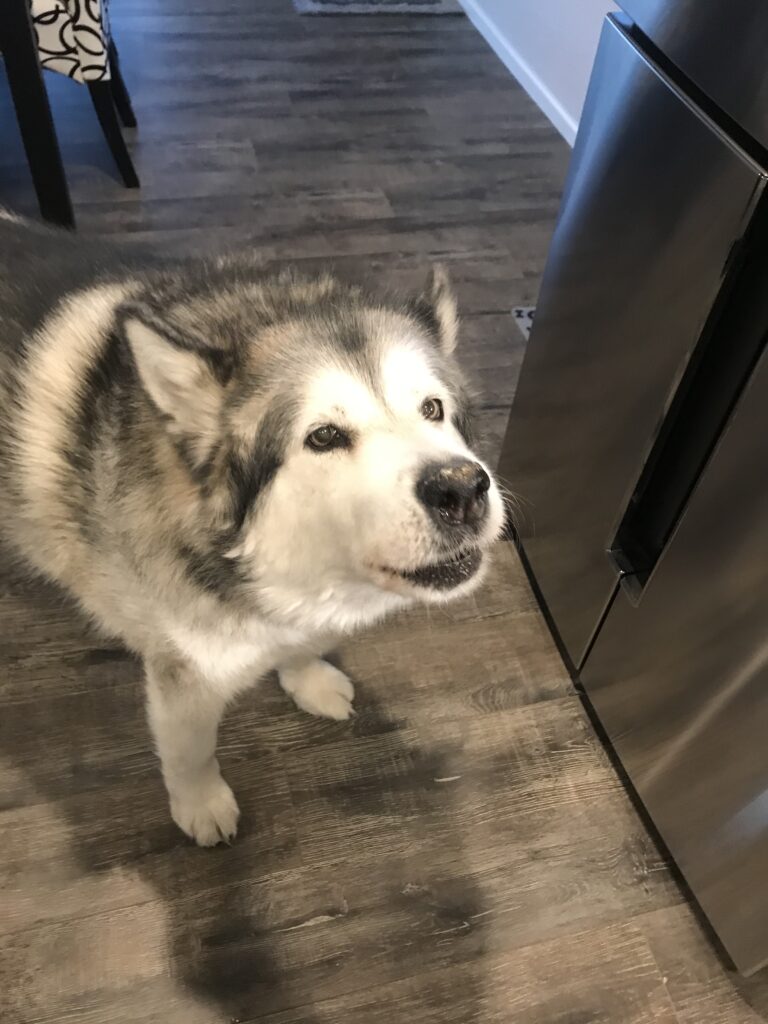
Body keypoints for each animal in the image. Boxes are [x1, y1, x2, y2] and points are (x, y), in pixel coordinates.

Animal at [0, 211, 504, 846]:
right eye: (324, 437)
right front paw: (201, 803)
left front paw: (307, 676)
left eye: (433, 410)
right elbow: (191, 750)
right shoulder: (184, 676)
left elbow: (304, 646)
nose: (461, 489)